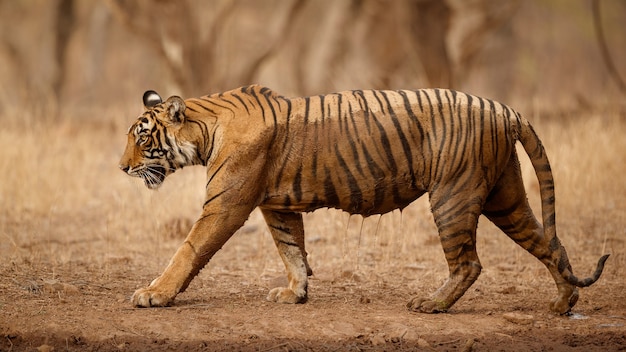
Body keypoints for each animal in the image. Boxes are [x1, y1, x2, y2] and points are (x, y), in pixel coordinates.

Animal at [119, 84, 608, 314]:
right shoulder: (276, 206)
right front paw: (296, 293)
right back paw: (563, 304)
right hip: (504, 198)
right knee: (549, 244)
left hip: (453, 195)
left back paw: (431, 305)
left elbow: (189, 250)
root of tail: (504, 108)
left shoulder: (226, 203)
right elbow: (292, 249)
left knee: (469, 263)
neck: (204, 129)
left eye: (142, 139)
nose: (122, 168)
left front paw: (153, 294)